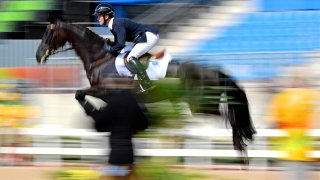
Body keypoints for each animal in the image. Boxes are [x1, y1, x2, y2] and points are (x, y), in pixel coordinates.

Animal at [35, 19, 255, 163]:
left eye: (48, 34)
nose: (38, 56)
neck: (100, 59)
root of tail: (214, 70)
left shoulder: (106, 90)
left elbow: (79, 93)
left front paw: (92, 111)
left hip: (201, 105)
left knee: (228, 118)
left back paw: (239, 144)